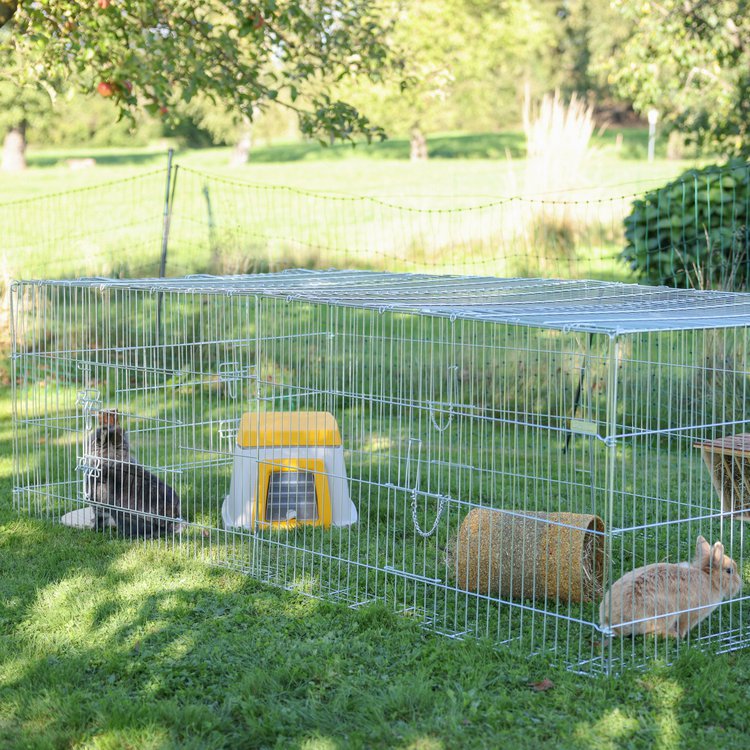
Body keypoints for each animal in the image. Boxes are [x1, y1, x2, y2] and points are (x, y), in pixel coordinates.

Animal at [604, 536, 744, 640]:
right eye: (729, 571)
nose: (740, 584)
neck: (709, 578)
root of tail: (614, 622)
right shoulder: (690, 614)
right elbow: (683, 625)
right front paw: (682, 636)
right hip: (665, 614)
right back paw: (674, 636)